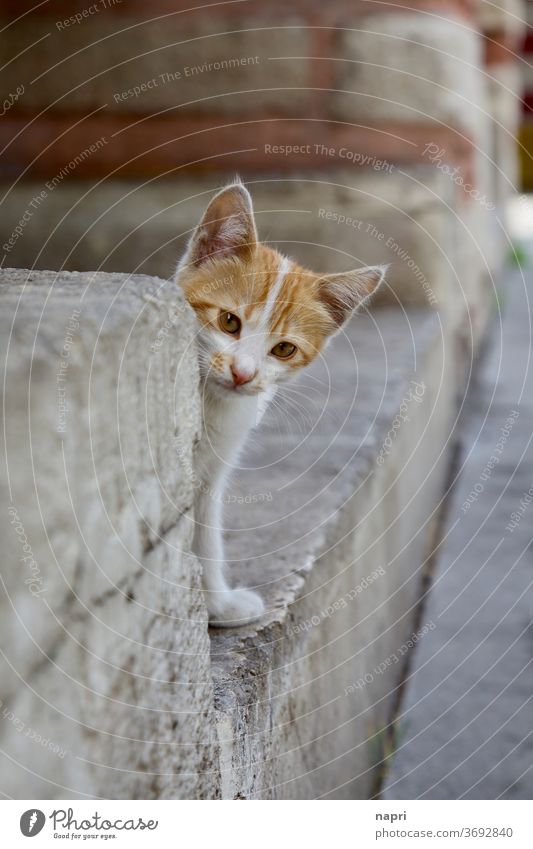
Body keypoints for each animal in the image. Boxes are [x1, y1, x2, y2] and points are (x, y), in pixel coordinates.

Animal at [177, 179, 384, 628]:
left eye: (284, 349)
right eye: (229, 322)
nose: (243, 373)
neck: (212, 406)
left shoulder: (211, 474)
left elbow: (205, 533)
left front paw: (217, 605)